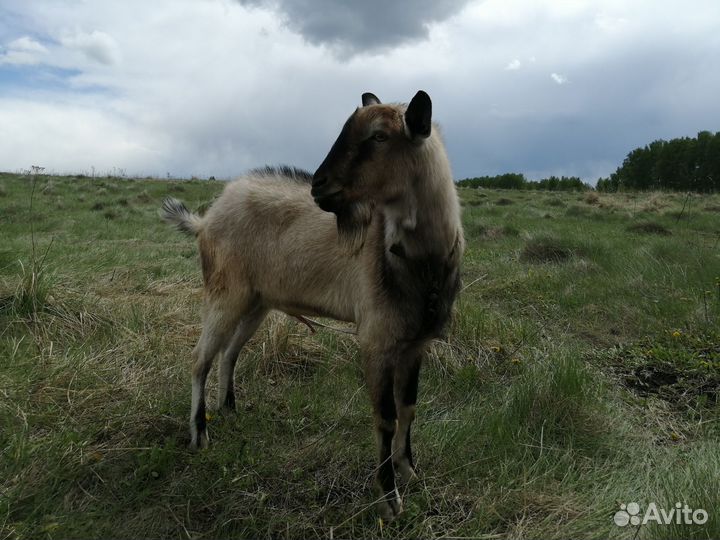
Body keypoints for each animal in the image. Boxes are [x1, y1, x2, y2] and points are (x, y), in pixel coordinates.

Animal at [162, 92, 464, 520]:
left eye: (379, 136)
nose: (318, 186)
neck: (420, 263)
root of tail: (206, 220)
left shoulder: (415, 344)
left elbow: (409, 408)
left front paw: (410, 472)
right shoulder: (376, 341)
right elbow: (386, 418)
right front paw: (389, 499)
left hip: (257, 301)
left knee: (230, 352)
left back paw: (229, 408)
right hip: (225, 293)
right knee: (200, 358)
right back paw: (200, 434)